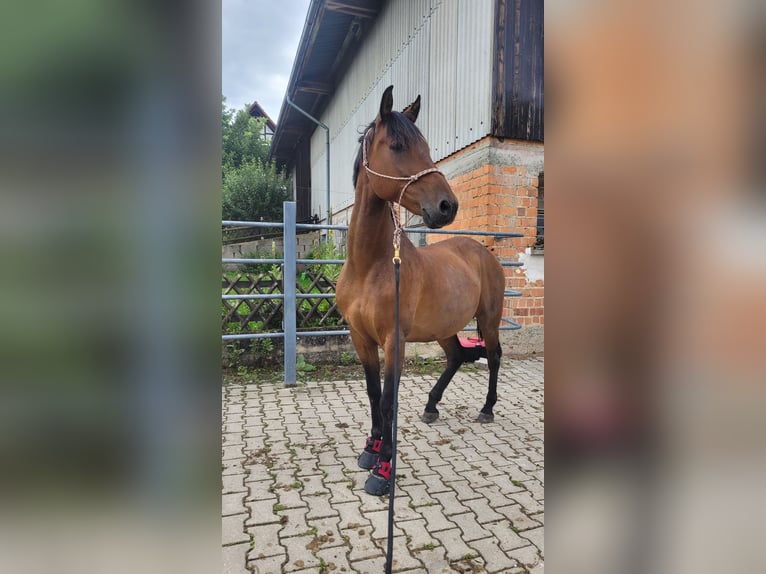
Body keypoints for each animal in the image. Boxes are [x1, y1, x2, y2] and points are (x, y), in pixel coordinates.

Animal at [338, 86, 508, 500]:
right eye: (397, 145)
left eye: (428, 147)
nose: (448, 206)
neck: (370, 266)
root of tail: (484, 252)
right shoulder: (360, 337)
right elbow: (372, 394)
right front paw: (370, 450)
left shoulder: (393, 340)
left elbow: (388, 401)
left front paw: (383, 470)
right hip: (445, 327)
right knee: (456, 357)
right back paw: (432, 406)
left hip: (489, 319)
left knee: (493, 356)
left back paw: (487, 408)